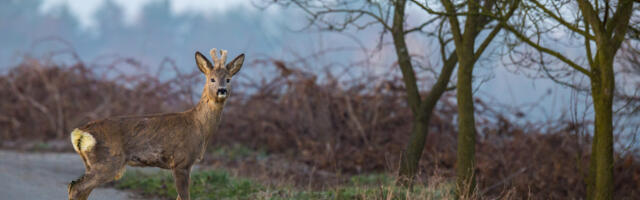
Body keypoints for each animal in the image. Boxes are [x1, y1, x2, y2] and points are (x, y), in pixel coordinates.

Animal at [67, 48, 242, 200]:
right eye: (212, 79)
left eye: (228, 79)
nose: (221, 90)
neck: (200, 127)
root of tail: (80, 133)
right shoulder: (181, 161)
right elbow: (184, 196)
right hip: (108, 161)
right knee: (76, 188)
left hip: (93, 163)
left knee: (78, 188)